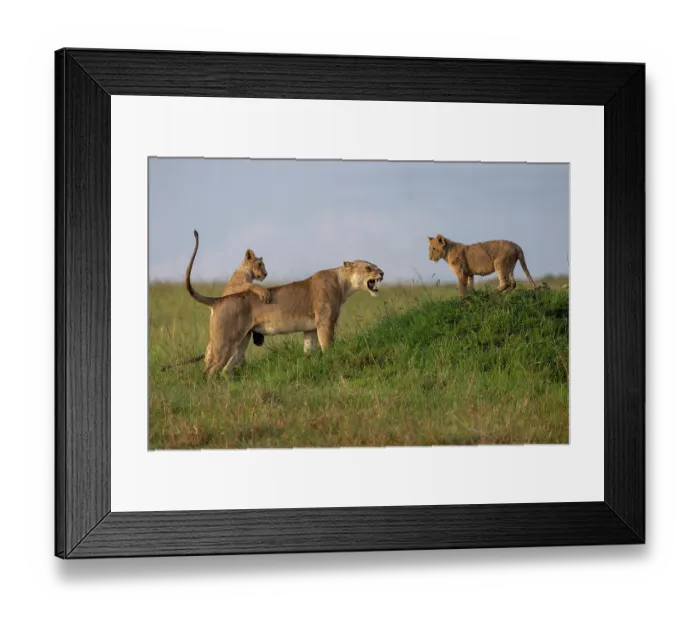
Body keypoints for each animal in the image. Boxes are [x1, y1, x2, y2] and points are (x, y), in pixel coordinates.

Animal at [160, 232, 270, 371]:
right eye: (260, 264)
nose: (266, 273)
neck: (245, 270)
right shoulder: (239, 286)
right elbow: (253, 286)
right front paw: (265, 293)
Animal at [184, 231, 385, 378]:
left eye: (375, 266)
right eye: (368, 268)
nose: (382, 273)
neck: (344, 285)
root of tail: (219, 299)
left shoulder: (310, 329)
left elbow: (308, 351)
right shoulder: (325, 323)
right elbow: (329, 348)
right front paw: (333, 364)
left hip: (241, 342)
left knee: (226, 368)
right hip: (224, 342)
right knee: (209, 371)